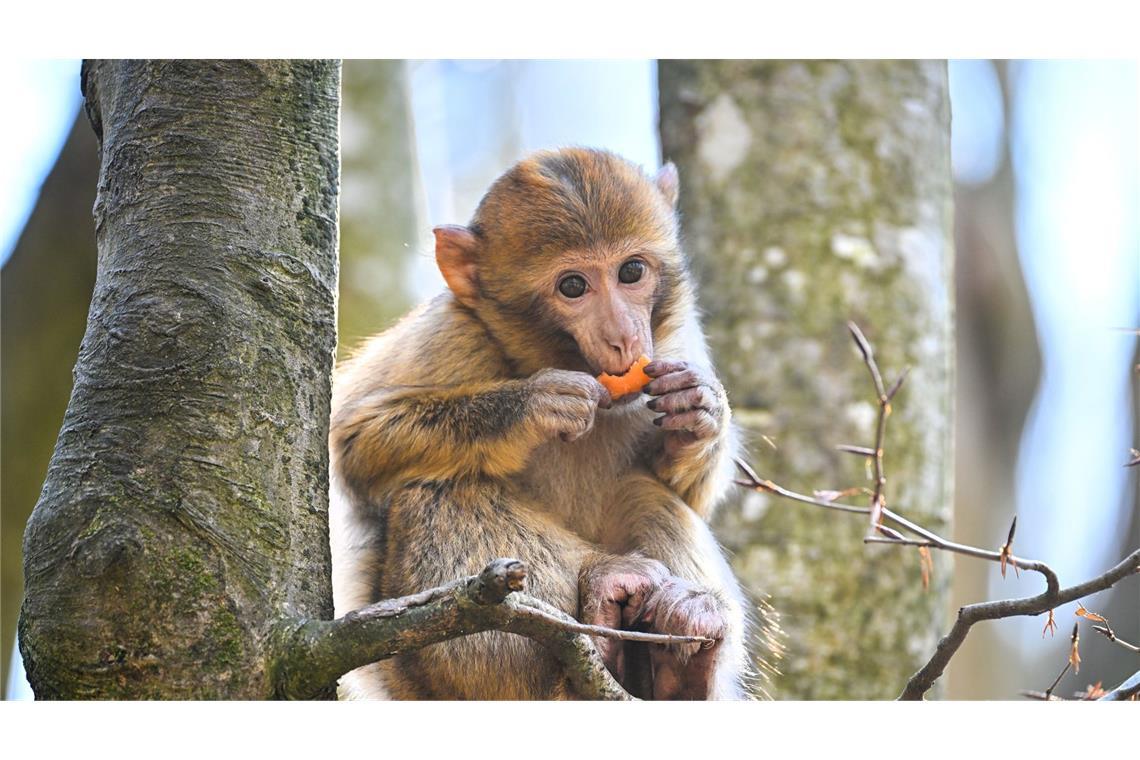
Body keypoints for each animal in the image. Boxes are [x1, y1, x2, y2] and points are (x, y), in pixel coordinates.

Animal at [330, 148, 747, 701]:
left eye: (632, 271)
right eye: (573, 286)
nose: (623, 338)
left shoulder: (678, 341)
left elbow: (684, 489)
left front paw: (699, 408)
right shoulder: (453, 334)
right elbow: (359, 442)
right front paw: (536, 404)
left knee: (645, 491)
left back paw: (681, 666)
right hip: (442, 672)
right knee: (437, 493)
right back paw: (605, 588)